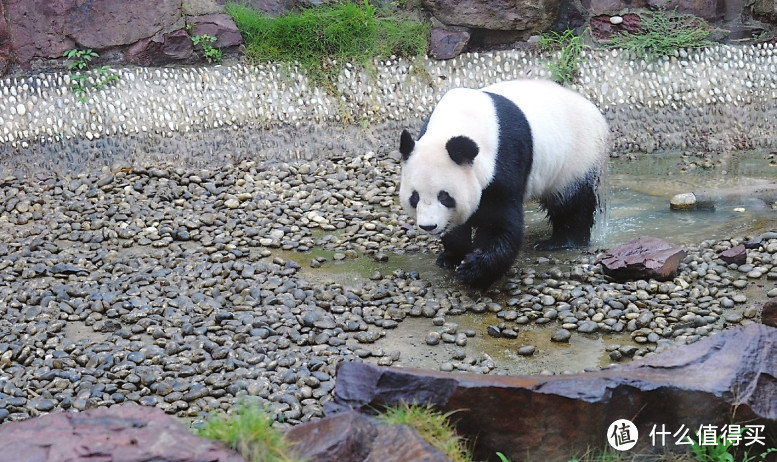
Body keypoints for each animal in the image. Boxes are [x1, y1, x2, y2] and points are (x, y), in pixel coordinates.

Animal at [398, 79, 608, 288]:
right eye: (414, 197)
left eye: (444, 196)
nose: (428, 226)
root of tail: (592, 108)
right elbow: (457, 226)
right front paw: (451, 257)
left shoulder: (502, 159)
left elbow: (499, 222)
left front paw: (474, 269)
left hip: (577, 156)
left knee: (572, 203)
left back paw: (561, 242)